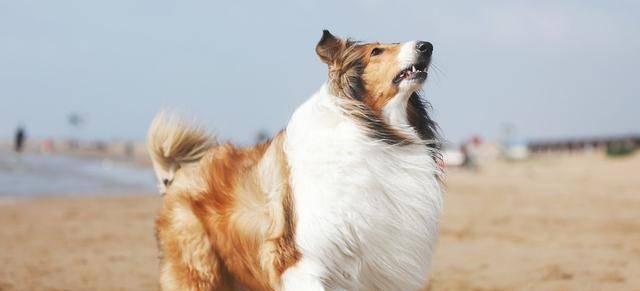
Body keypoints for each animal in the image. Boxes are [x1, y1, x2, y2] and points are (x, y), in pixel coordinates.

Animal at [148, 30, 442, 290]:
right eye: (376, 51)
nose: (426, 46)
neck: (372, 129)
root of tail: (176, 175)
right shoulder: (301, 262)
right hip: (198, 270)